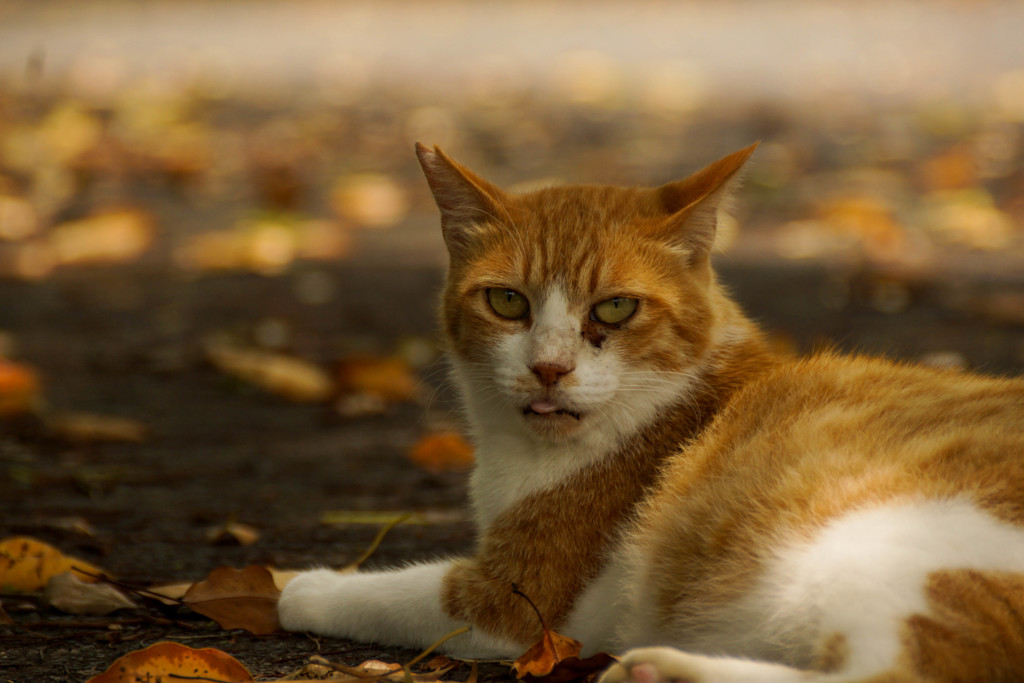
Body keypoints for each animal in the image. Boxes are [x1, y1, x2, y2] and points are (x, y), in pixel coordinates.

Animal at [274, 141, 1024, 679]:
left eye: (614, 308)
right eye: (508, 301)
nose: (550, 367)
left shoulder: (523, 602)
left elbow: (404, 592)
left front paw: (298, 585)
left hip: (886, 545)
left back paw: (659, 668)